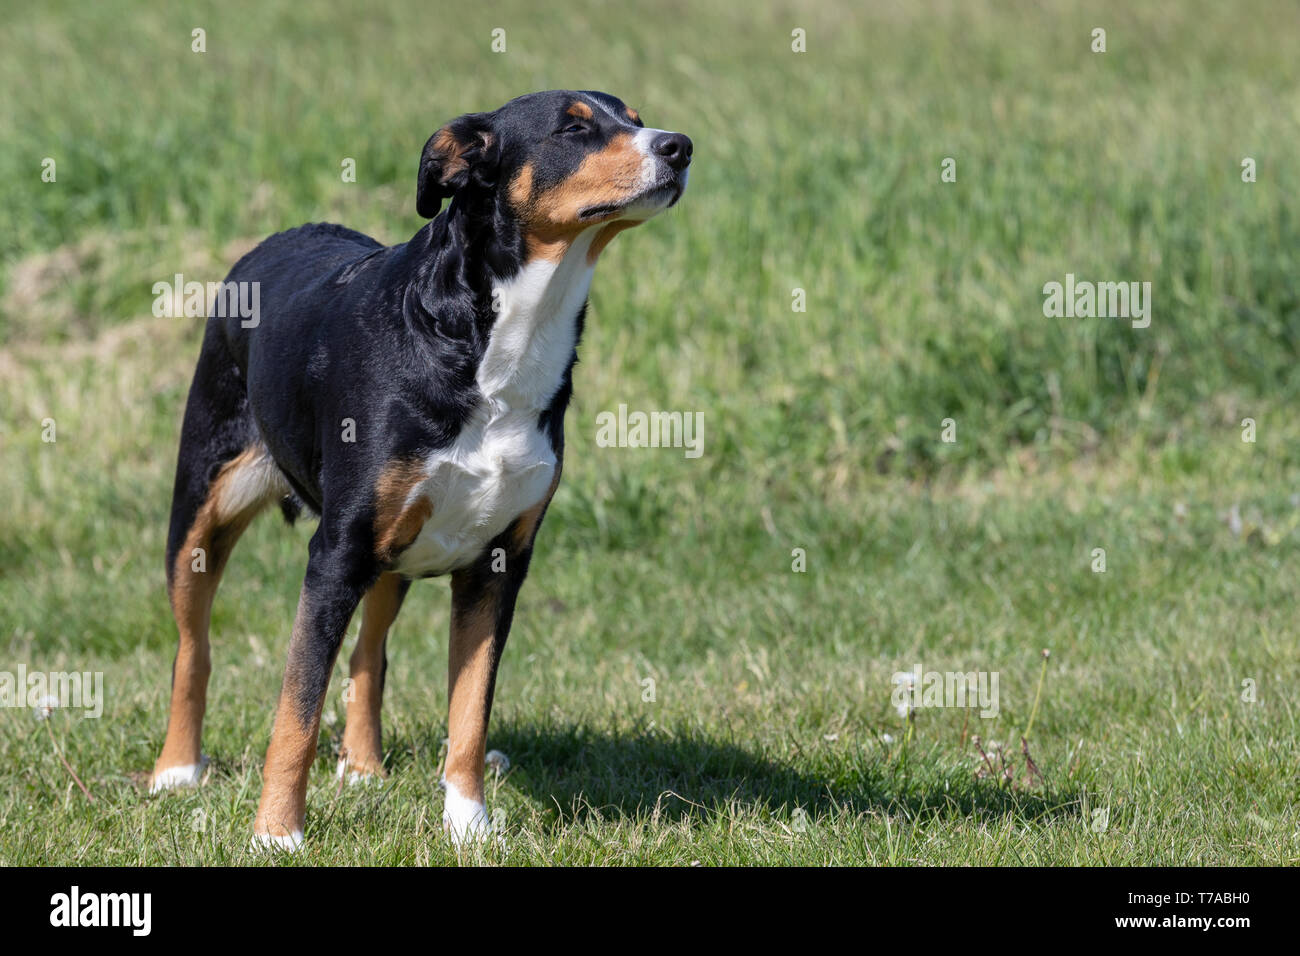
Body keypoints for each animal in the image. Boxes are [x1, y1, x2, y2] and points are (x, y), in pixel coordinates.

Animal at [148, 91, 696, 853]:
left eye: (636, 118)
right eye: (574, 127)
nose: (679, 146)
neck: (499, 340)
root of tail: (271, 242)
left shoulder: (499, 564)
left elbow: (468, 712)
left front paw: (468, 824)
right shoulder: (335, 552)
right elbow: (296, 709)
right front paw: (277, 835)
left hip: (394, 551)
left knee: (368, 654)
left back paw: (363, 769)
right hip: (203, 509)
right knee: (192, 648)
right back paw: (176, 770)